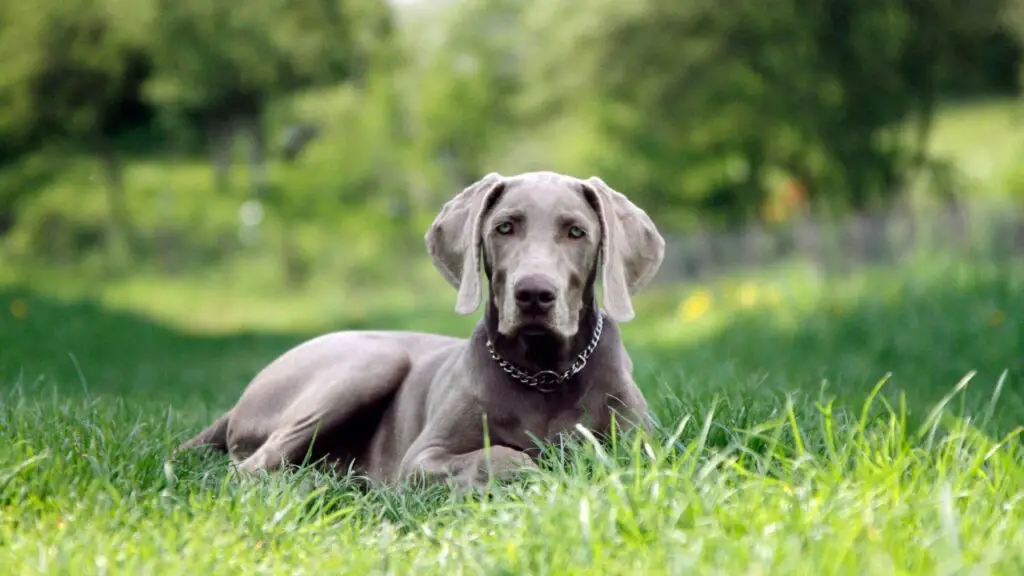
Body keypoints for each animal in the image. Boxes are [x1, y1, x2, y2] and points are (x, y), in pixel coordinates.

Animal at [178, 170, 663, 487]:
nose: (534, 294)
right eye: (504, 227)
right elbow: (504, 457)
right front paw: (540, 469)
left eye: (576, 232)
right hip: (372, 360)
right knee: (249, 469)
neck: (545, 375)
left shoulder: (646, 449)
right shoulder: (421, 459)